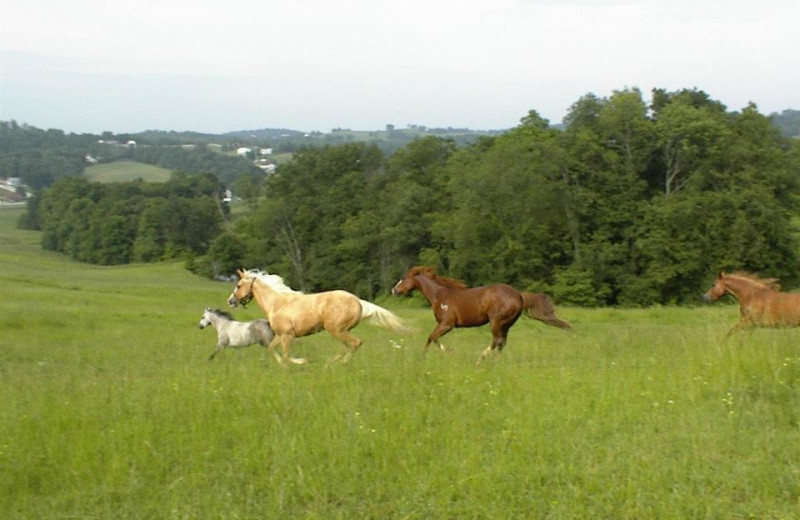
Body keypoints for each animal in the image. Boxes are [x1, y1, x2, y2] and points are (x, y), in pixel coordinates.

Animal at [230, 268, 406, 366]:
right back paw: (331, 364)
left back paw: (335, 365)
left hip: (336, 330)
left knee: (355, 344)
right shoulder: (280, 335)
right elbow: (272, 350)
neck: (276, 304)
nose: (230, 301)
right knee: (349, 346)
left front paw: (303, 362)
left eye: (238, 286)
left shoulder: (288, 335)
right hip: (341, 331)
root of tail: (358, 300)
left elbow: (286, 356)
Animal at [394, 266, 532, 364]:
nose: (394, 290)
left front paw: (445, 353)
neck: (439, 296)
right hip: (506, 325)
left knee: (496, 341)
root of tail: (518, 295)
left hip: (496, 322)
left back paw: (480, 360)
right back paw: (494, 362)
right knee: (501, 343)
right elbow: (432, 338)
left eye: (404, 278)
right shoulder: (443, 324)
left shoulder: (447, 324)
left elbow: (432, 338)